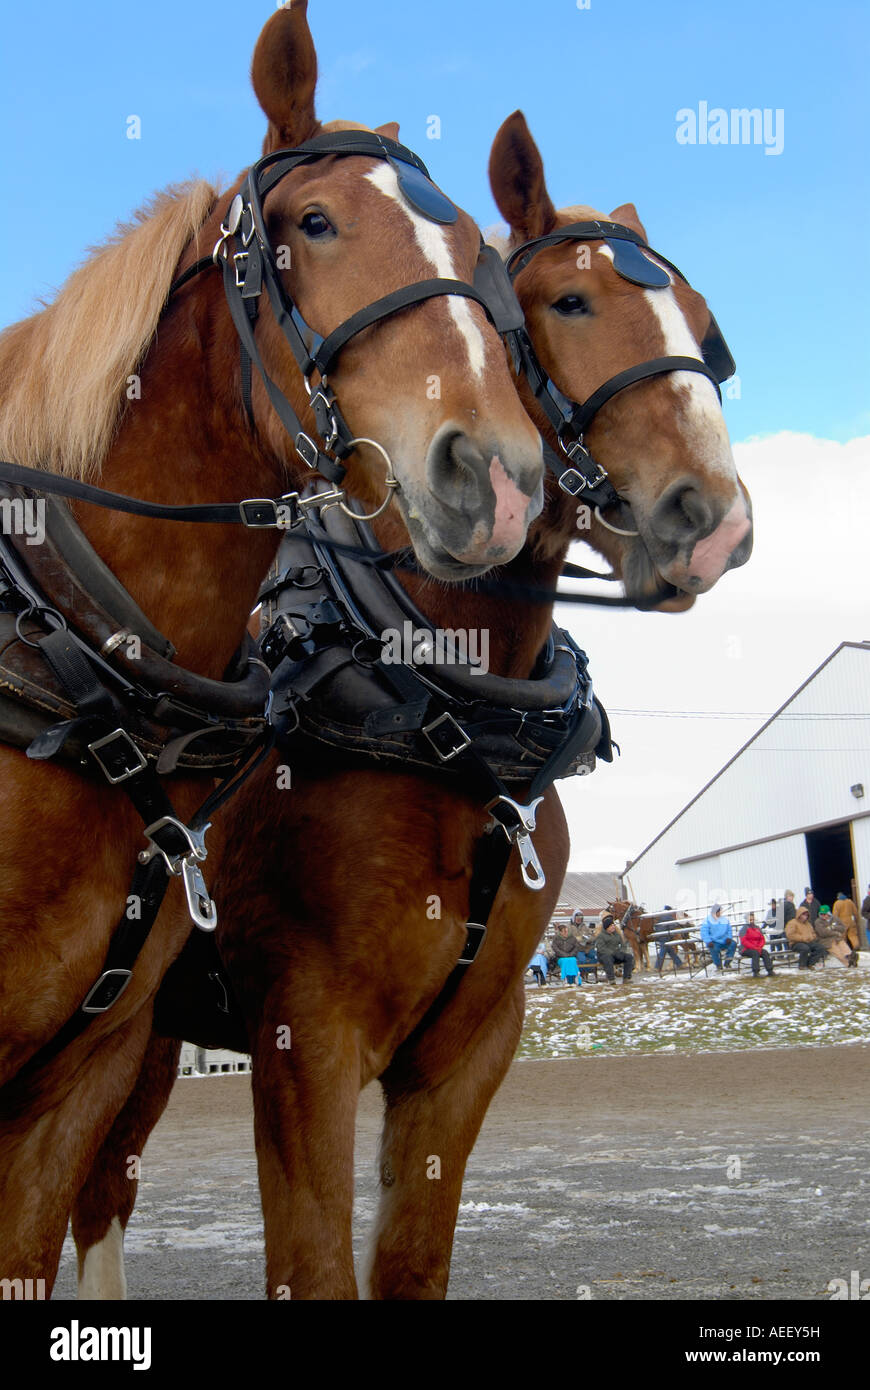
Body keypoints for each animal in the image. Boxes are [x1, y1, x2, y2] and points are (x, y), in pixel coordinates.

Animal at [69, 106, 754, 1299]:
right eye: (569, 303)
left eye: (704, 326)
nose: (712, 518)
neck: (441, 701)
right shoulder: (306, 1036)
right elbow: (314, 1264)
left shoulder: (470, 1048)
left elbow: (411, 1265)